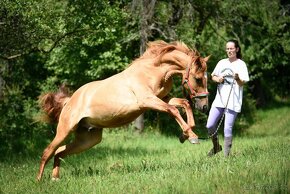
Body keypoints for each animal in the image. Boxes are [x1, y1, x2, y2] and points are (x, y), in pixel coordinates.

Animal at [36, 40, 208, 181]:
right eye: (198, 78)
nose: (204, 106)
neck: (152, 71)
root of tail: (69, 101)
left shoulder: (162, 98)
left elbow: (184, 104)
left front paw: (185, 135)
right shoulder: (148, 100)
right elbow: (173, 110)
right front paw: (191, 136)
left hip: (88, 139)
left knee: (59, 152)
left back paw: (55, 178)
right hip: (65, 130)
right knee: (48, 151)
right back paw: (39, 180)